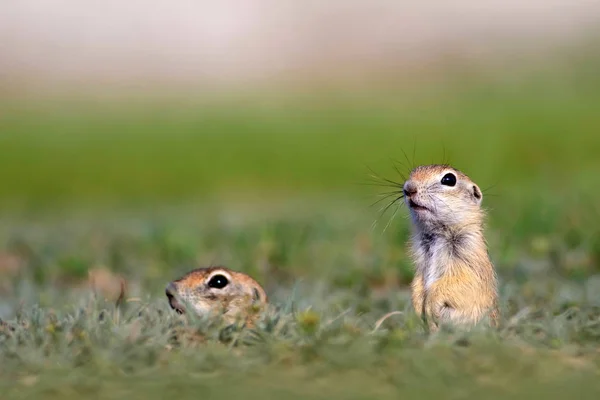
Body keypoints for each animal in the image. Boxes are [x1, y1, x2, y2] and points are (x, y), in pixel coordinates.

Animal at [400, 164, 500, 330]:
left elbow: (458, 283)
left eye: (449, 179)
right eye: (413, 172)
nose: (409, 188)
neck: (438, 234)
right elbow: (417, 282)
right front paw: (418, 308)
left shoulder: (470, 259)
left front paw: (430, 306)